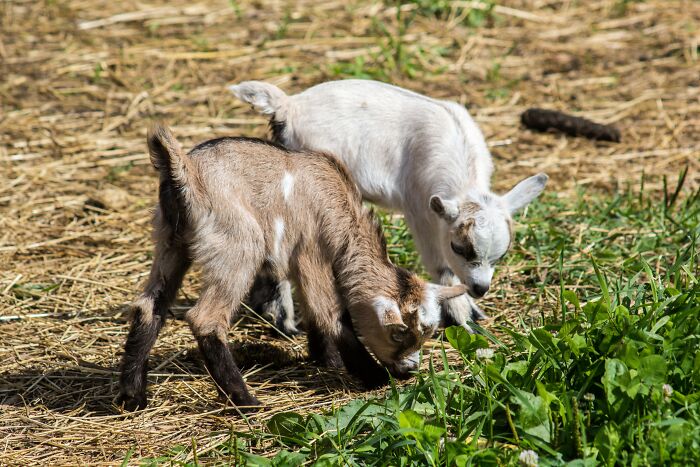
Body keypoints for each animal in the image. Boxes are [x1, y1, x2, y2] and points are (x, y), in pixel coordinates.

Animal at [117, 124, 467, 412]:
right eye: (398, 333)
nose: (409, 370)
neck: (338, 204)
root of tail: (185, 172)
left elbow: (313, 312)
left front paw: (327, 359)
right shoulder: (311, 251)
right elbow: (330, 313)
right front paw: (374, 377)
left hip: (170, 242)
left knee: (149, 306)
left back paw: (132, 397)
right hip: (237, 246)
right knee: (206, 318)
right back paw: (246, 401)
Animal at [230, 79, 547, 332]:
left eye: (501, 255)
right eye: (459, 247)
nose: (481, 289)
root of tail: (288, 106)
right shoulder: (420, 208)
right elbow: (440, 264)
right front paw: (462, 315)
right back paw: (285, 319)